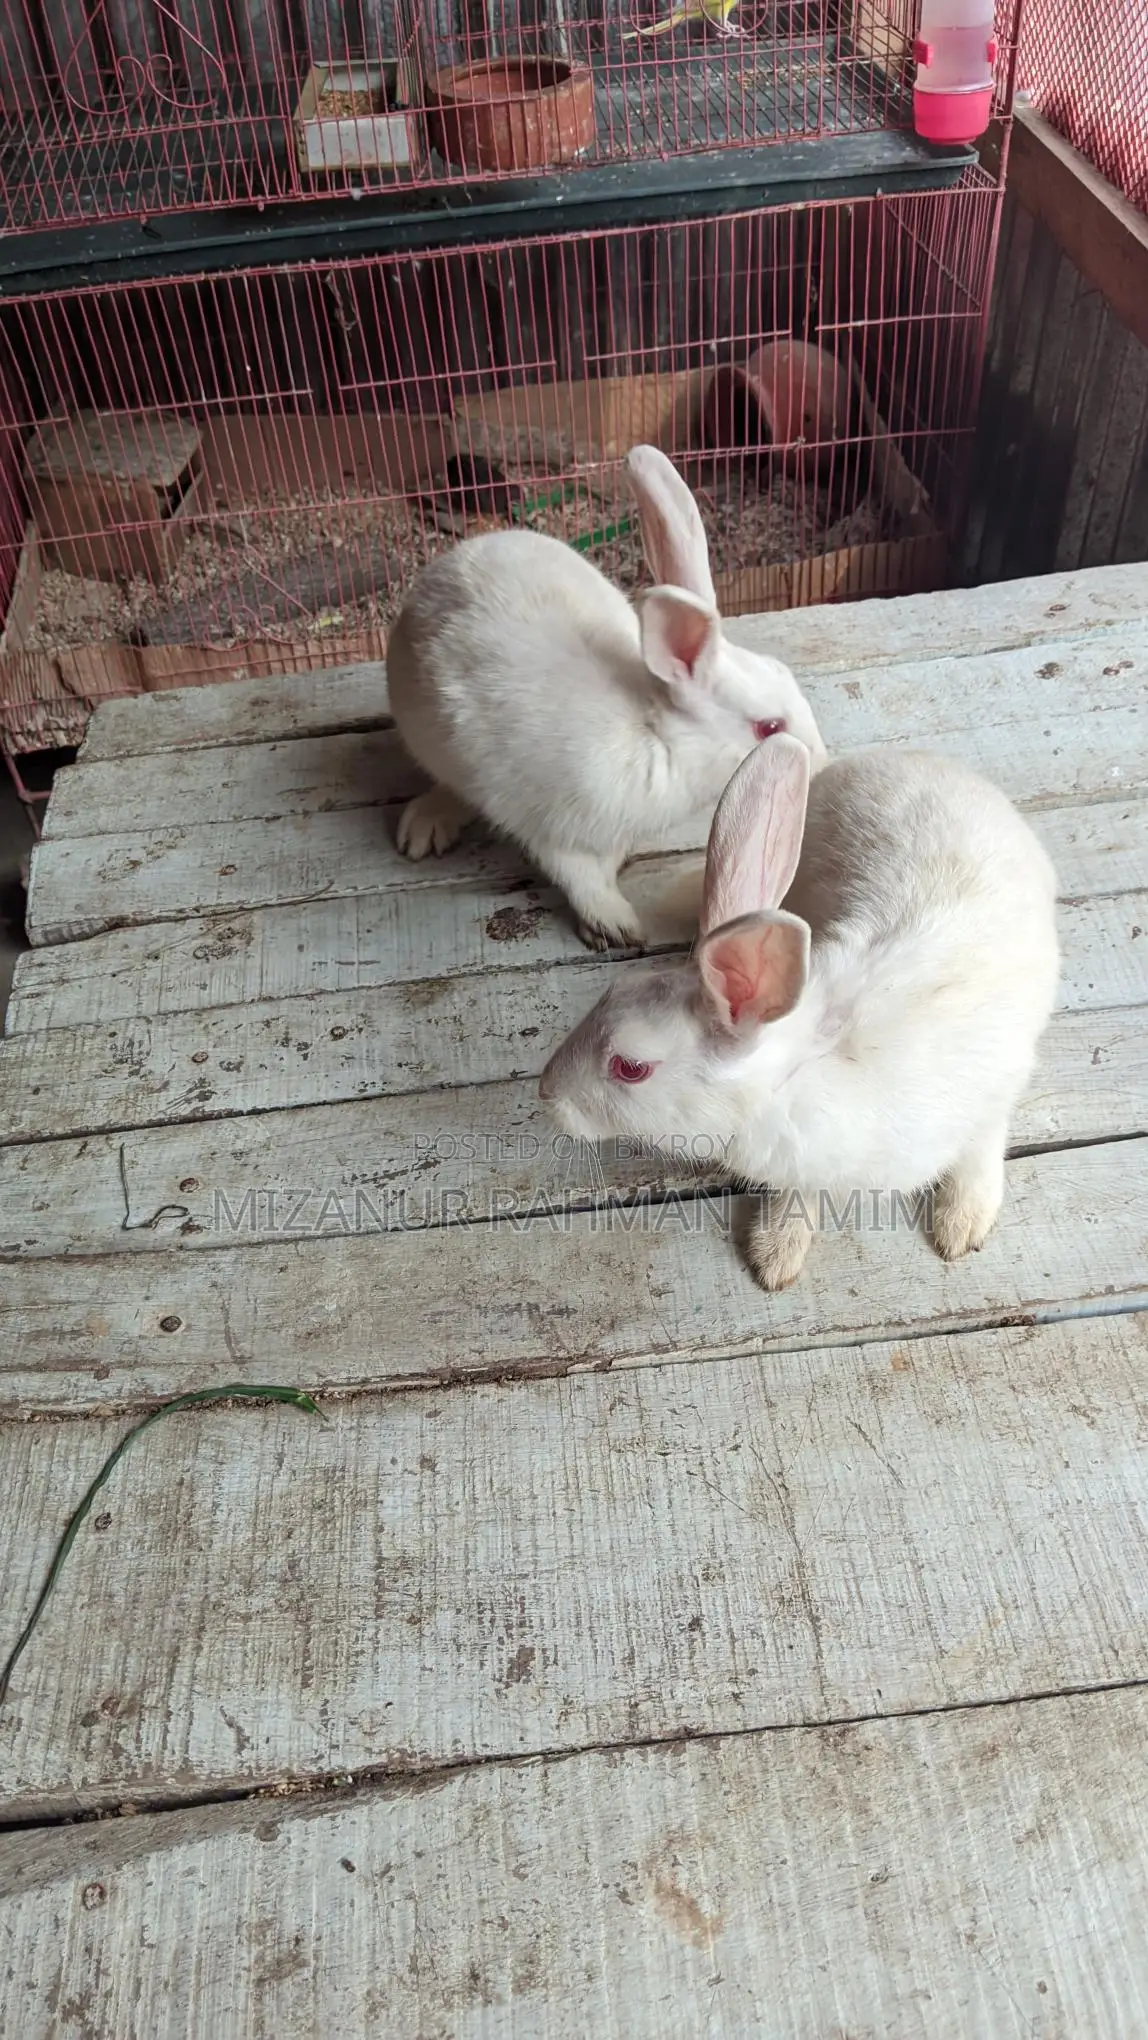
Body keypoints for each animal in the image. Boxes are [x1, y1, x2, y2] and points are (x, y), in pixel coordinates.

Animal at [386, 444, 827, 952]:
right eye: (769, 727)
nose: (822, 760)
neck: (657, 739)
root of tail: (441, 567)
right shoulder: (548, 824)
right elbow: (576, 876)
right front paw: (615, 924)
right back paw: (425, 825)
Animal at [539, 734, 1059, 1290]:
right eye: (612, 990)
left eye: (630, 1067)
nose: (547, 1093)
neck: (801, 1071)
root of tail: (911, 760)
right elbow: (800, 1195)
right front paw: (776, 1252)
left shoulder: (994, 1088)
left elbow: (982, 1147)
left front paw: (962, 1224)